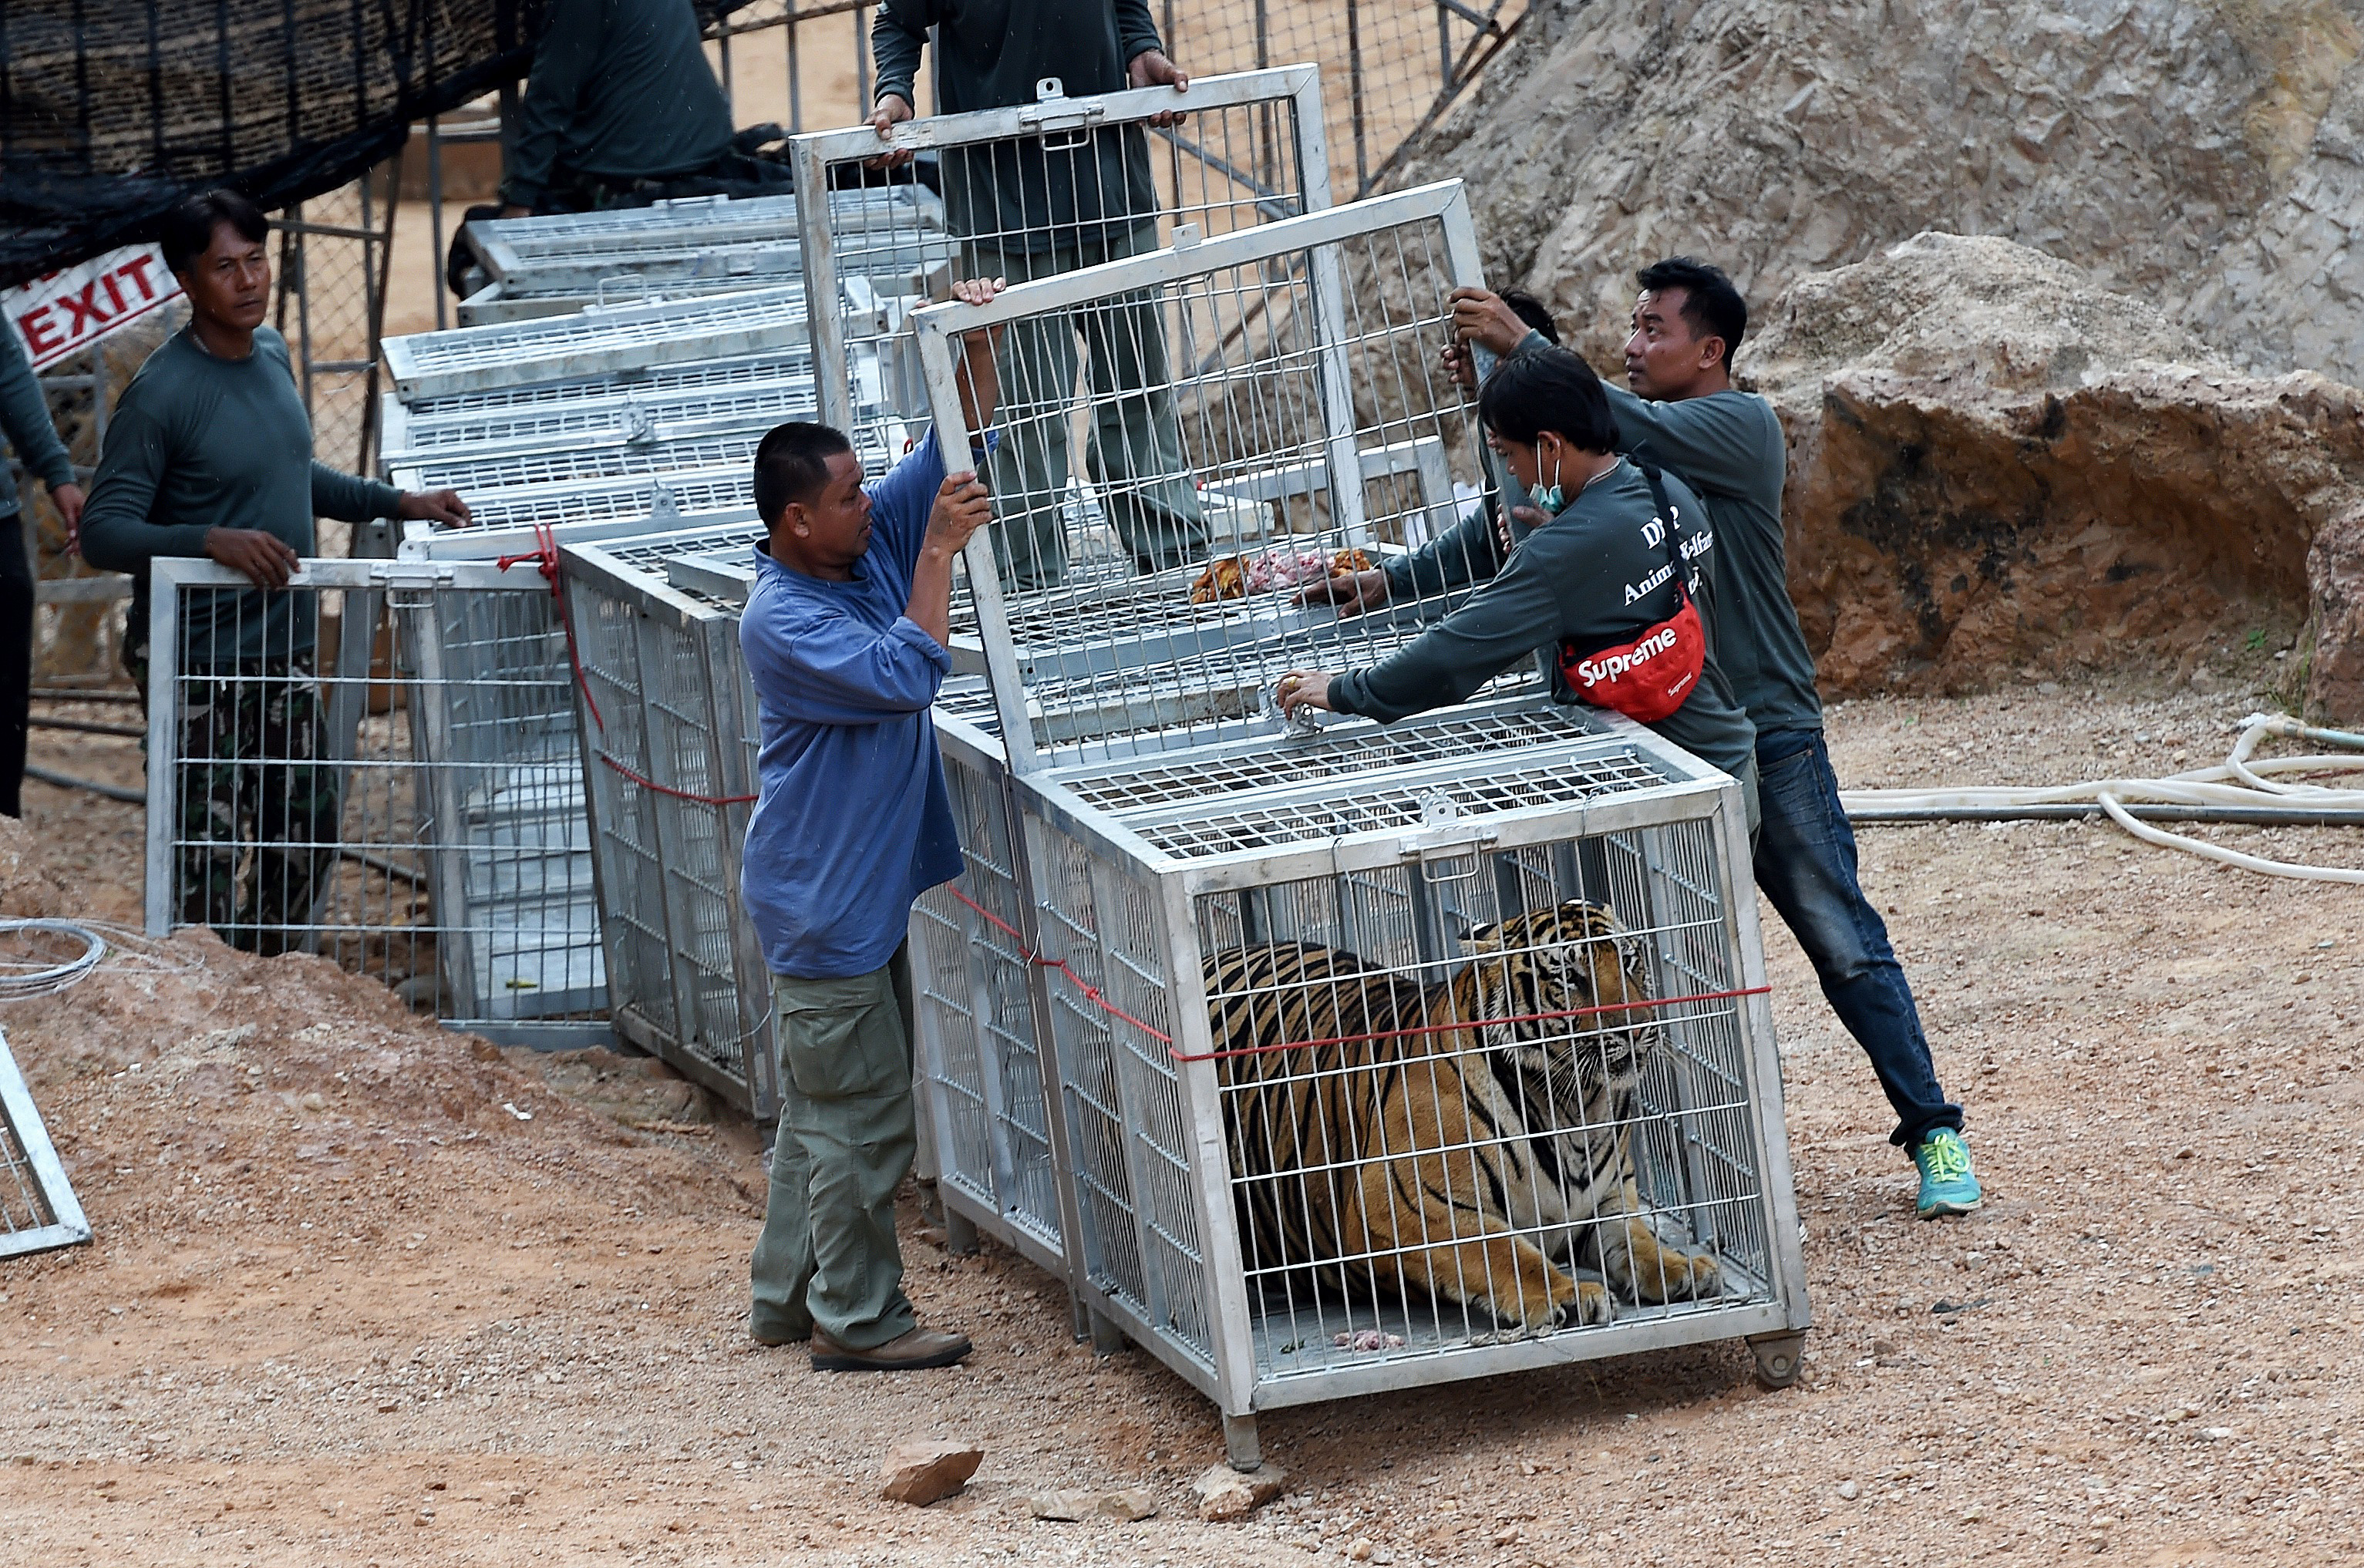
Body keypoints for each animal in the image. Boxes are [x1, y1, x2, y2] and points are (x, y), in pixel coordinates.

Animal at [1210, 903, 1730, 1334]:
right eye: (1569, 976)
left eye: (1628, 961)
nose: (1636, 1028)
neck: (1577, 1105)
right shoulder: (1405, 1202)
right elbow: (1503, 1250)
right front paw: (1566, 1295)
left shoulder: (1608, 1202)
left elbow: (1638, 1240)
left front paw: (1682, 1267)